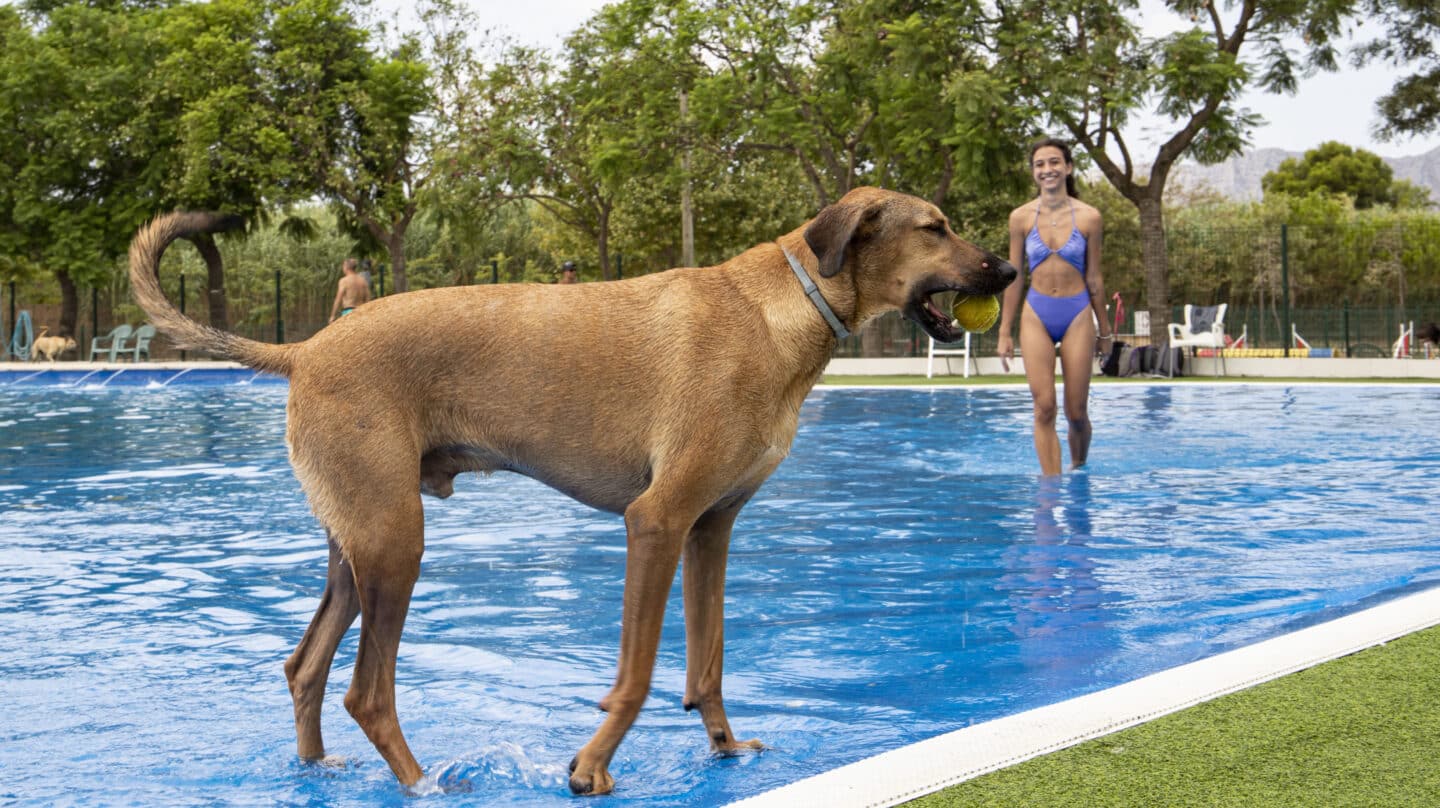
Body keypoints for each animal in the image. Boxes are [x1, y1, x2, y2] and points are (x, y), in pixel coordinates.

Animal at [129, 188, 1019, 795]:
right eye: (934, 227)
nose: (1008, 268)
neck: (775, 314)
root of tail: (306, 348)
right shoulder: (656, 522)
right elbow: (637, 674)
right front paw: (591, 768)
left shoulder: (711, 530)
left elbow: (708, 663)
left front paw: (724, 747)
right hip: (394, 545)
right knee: (366, 693)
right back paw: (424, 785)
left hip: (354, 549)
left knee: (305, 669)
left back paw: (319, 773)